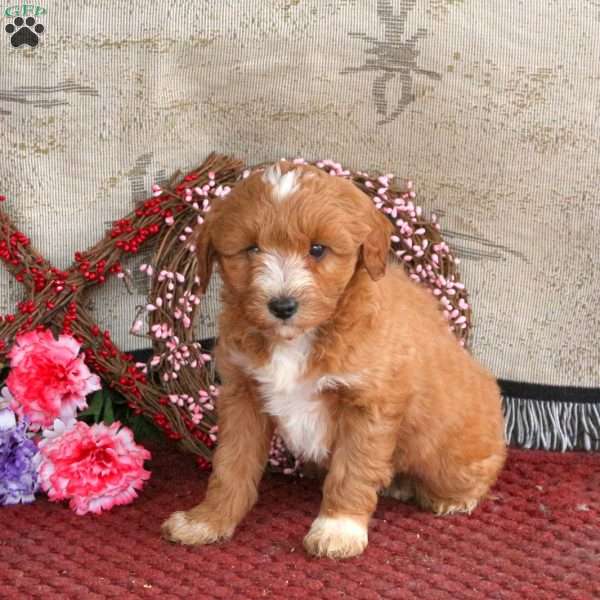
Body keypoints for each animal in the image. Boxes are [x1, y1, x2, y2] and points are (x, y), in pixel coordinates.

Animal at [161, 161, 506, 556]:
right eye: (251, 248)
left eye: (317, 249)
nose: (282, 306)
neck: (300, 338)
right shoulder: (242, 394)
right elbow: (231, 465)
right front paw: (207, 520)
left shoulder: (368, 404)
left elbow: (352, 469)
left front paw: (338, 530)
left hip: (451, 450)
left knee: (477, 468)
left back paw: (454, 498)